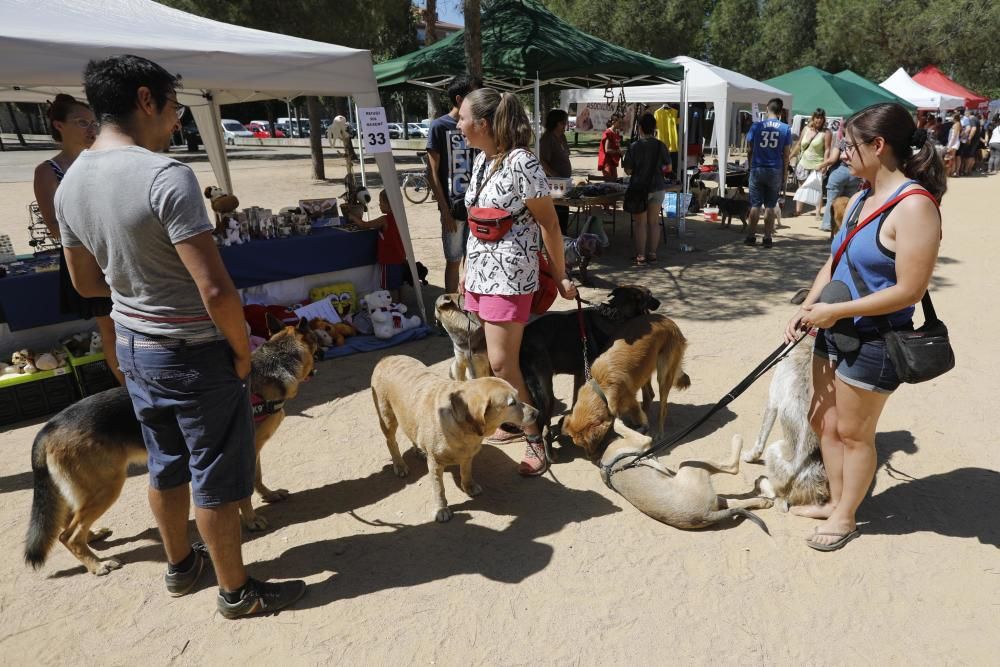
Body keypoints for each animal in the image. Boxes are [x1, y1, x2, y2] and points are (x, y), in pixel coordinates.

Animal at [370, 358, 540, 524]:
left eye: (519, 395)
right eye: (512, 403)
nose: (537, 413)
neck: (465, 430)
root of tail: (385, 358)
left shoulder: (468, 455)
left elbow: (466, 471)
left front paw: (469, 486)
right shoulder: (435, 463)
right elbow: (439, 489)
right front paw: (441, 509)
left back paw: (418, 450)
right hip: (387, 417)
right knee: (391, 442)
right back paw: (399, 465)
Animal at [520, 288, 660, 460]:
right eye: (648, 295)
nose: (659, 303)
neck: (615, 314)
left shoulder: (580, 374)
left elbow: (575, 401)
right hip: (546, 393)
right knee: (544, 427)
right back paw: (551, 455)